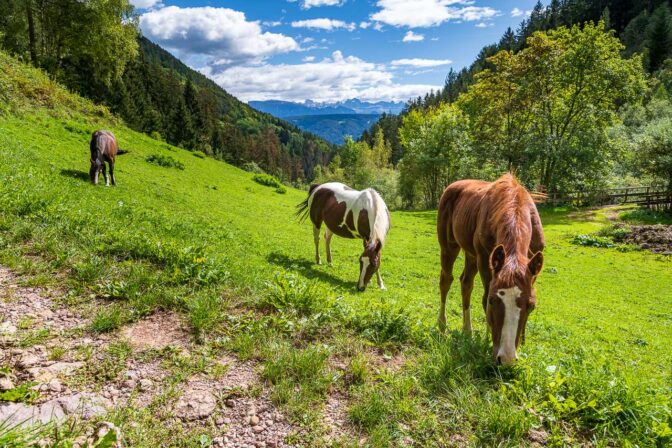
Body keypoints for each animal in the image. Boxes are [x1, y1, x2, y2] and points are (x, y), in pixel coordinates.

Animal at [436, 173, 544, 366]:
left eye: (531, 306)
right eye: (493, 301)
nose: (507, 358)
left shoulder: (531, 269)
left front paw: (521, 343)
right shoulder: (486, 261)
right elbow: (484, 297)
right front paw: (488, 341)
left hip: (471, 254)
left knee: (466, 283)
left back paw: (467, 331)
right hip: (450, 247)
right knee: (446, 280)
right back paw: (442, 325)